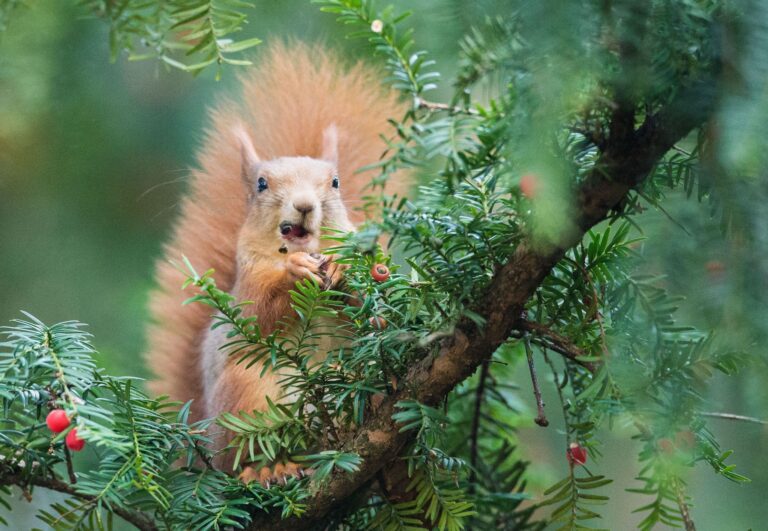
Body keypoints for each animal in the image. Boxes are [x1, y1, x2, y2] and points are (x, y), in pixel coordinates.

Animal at [144, 42, 405, 483]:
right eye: (262, 184)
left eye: (335, 183)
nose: (304, 205)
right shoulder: (247, 285)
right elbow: (256, 315)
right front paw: (294, 277)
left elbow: (376, 319)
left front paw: (342, 270)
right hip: (245, 396)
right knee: (244, 457)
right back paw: (269, 470)